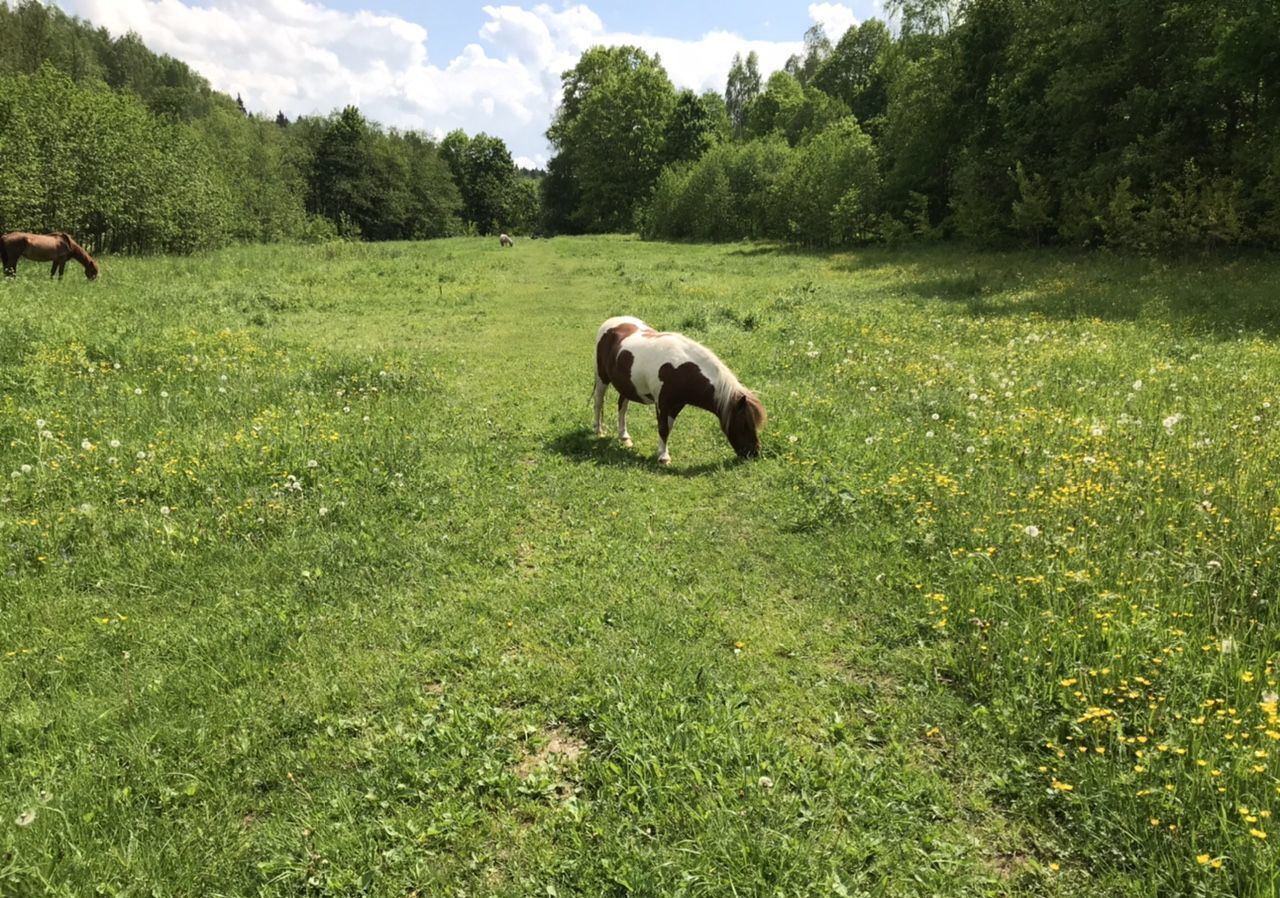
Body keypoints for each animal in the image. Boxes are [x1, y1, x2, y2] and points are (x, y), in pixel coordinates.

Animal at [593, 317, 762, 468]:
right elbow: (663, 428)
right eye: (744, 424)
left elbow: (668, 428)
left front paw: (661, 452)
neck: (681, 370)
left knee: (622, 407)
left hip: (627, 386)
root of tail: (611, 322)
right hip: (602, 378)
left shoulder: (677, 405)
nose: (754, 453)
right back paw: (598, 430)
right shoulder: (662, 404)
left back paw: (624, 437)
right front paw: (663, 458)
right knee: (598, 402)